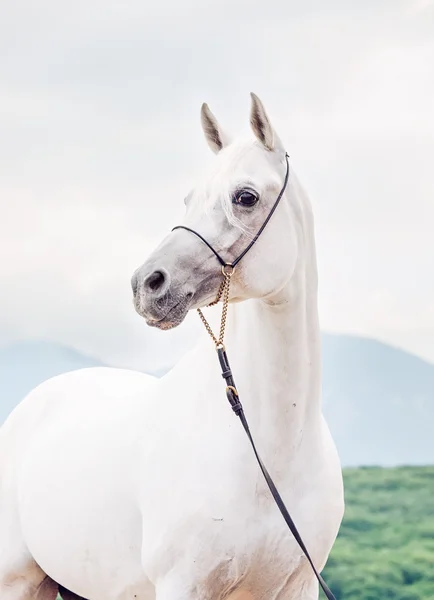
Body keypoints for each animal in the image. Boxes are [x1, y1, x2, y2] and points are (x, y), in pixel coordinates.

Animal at [0, 95, 346, 600]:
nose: (147, 284)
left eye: (245, 196)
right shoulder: (183, 585)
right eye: (188, 198)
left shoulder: (295, 587)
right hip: (19, 580)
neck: (268, 453)